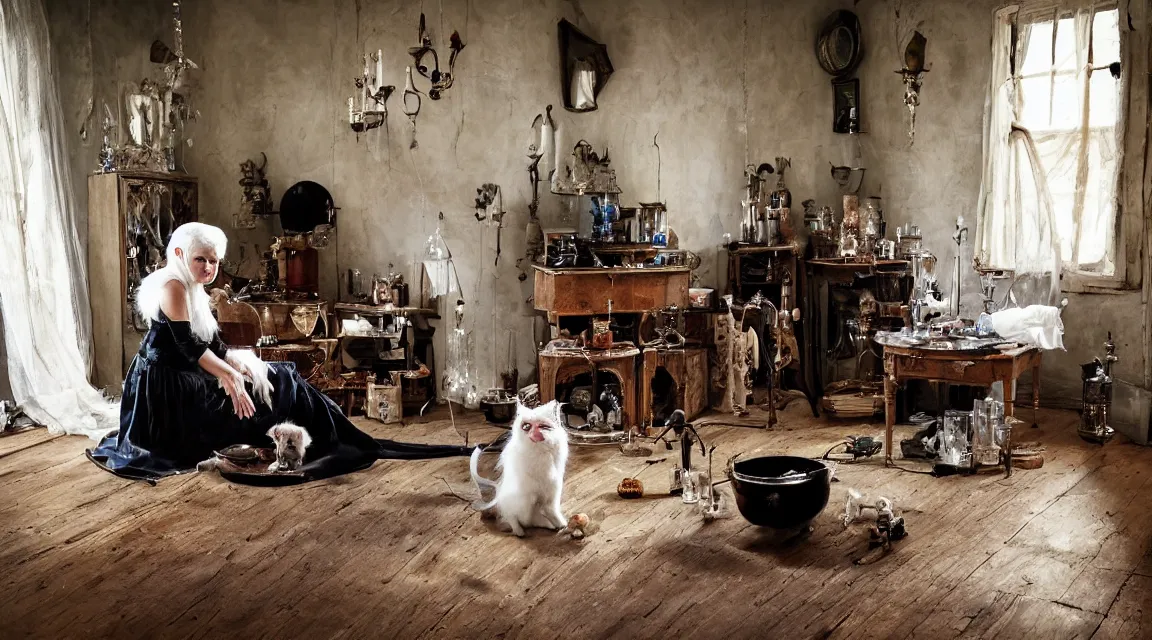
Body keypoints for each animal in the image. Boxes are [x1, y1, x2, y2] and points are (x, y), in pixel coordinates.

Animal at [470, 400, 569, 534]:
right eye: (526, 427)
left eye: (543, 427)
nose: (534, 434)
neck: (539, 454)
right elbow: (522, 514)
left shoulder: (552, 489)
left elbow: (549, 510)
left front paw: (559, 523)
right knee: (516, 519)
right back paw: (519, 531)